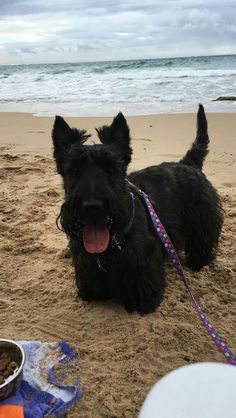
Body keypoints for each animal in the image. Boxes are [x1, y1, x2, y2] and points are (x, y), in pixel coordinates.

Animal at [52, 105, 223, 314]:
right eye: (74, 169)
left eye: (112, 168)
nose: (92, 207)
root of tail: (188, 163)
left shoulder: (141, 258)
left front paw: (143, 301)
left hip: (203, 218)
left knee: (202, 239)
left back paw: (199, 261)